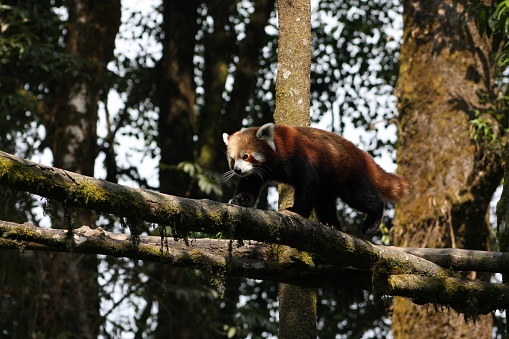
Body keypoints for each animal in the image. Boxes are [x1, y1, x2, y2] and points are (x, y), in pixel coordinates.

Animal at [220, 122, 410, 236]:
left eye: (246, 156)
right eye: (232, 159)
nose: (237, 170)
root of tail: (361, 154)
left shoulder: (296, 156)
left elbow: (307, 182)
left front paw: (296, 211)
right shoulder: (258, 171)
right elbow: (250, 183)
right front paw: (241, 200)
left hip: (350, 175)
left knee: (363, 198)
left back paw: (372, 222)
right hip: (329, 184)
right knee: (324, 200)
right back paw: (330, 223)